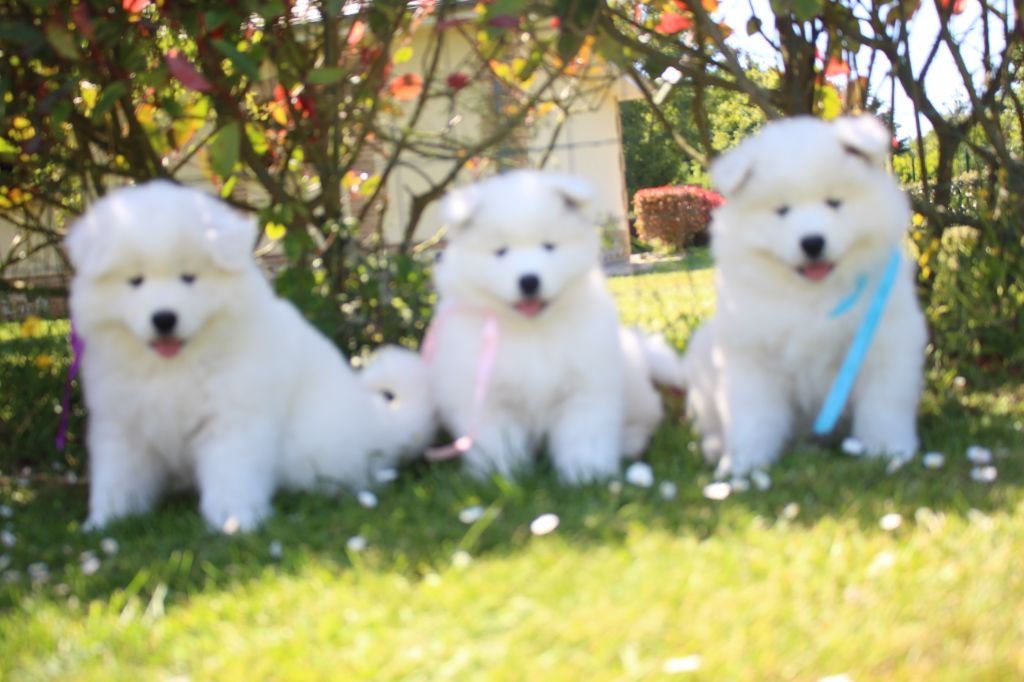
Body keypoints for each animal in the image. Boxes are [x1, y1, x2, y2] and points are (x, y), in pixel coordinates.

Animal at [64, 178, 432, 528]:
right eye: (135, 281)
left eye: (189, 277)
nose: (164, 318)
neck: (173, 366)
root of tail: (375, 423)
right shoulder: (121, 423)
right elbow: (119, 478)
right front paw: (106, 520)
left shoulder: (232, 417)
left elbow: (231, 471)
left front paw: (235, 519)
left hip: (310, 446)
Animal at [423, 169, 671, 481]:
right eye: (501, 252)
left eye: (549, 246)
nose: (529, 280)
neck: (531, 329)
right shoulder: (487, 398)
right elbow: (497, 440)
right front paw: (499, 475)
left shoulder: (585, 386)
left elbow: (584, 434)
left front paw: (586, 474)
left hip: (634, 390)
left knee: (646, 418)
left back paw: (629, 443)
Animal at [679, 116, 929, 475]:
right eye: (782, 210)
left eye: (834, 202)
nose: (812, 242)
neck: (811, 295)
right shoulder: (752, 355)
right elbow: (753, 416)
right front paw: (744, 464)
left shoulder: (884, 344)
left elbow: (883, 405)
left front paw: (888, 450)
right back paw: (716, 449)